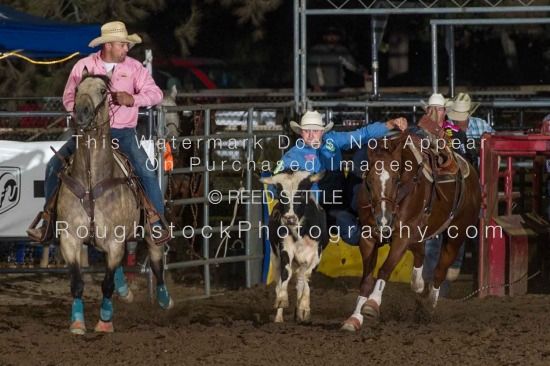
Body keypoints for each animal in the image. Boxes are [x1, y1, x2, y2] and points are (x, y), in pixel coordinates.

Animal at [57, 68, 174, 334]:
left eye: (103, 91)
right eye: (76, 89)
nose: (81, 112)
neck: (92, 181)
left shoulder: (115, 240)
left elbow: (107, 284)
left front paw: (104, 320)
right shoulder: (70, 238)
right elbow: (77, 283)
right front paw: (77, 322)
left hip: (150, 230)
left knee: (156, 261)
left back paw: (164, 299)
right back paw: (126, 290)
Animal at [342, 130, 480, 330]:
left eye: (396, 180)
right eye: (369, 180)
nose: (383, 218)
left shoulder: (403, 236)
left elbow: (385, 269)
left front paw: (372, 304)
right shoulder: (368, 237)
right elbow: (366, 280)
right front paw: (354, 318)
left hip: (455, 236)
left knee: (439, 271)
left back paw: (429, 309)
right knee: (420, 253)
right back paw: (418, 285)